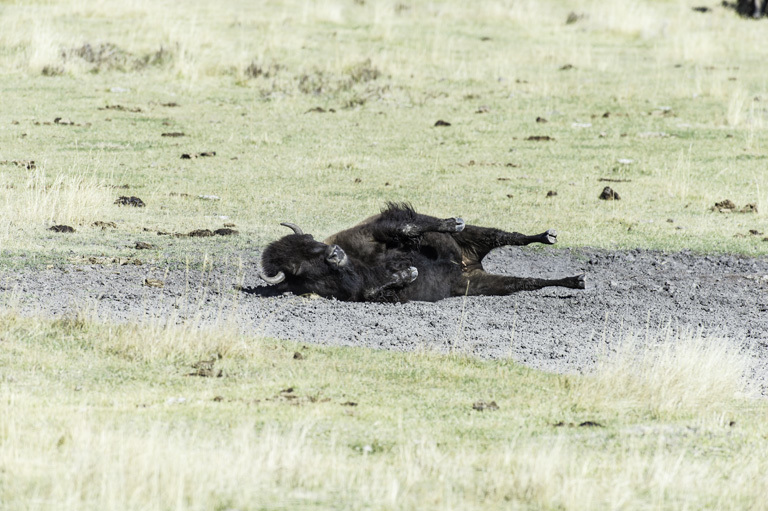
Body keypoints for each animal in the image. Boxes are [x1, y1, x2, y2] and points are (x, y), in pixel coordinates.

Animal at [255, 202, 584, 302]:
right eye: (296, 268)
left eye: (311, 240)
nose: (334, 253)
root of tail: (468, 264)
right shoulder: (359, 292)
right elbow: (375, 289)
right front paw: (409, 272)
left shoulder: (373, 231)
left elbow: (404, 226)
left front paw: (452, 223)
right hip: (475, 285)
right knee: (523, 281)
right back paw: (575, 280)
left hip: (475, 240)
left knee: (506, 236)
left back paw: (548, 237)